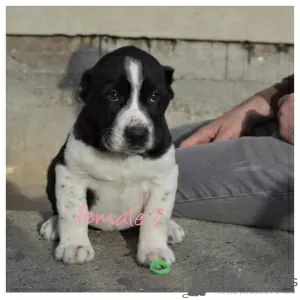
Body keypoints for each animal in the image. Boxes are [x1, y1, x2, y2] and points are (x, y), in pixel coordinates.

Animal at [39, 46, 185, 264]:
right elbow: (72, 211)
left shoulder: (164, 177)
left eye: (154, 96)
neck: (122, 156)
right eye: (113, 95)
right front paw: (75, 246)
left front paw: (154, 250)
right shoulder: (70, 173)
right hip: (52, 171)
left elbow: (156, 216)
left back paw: (171, 229)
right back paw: (54, 224)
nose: (137, 134)